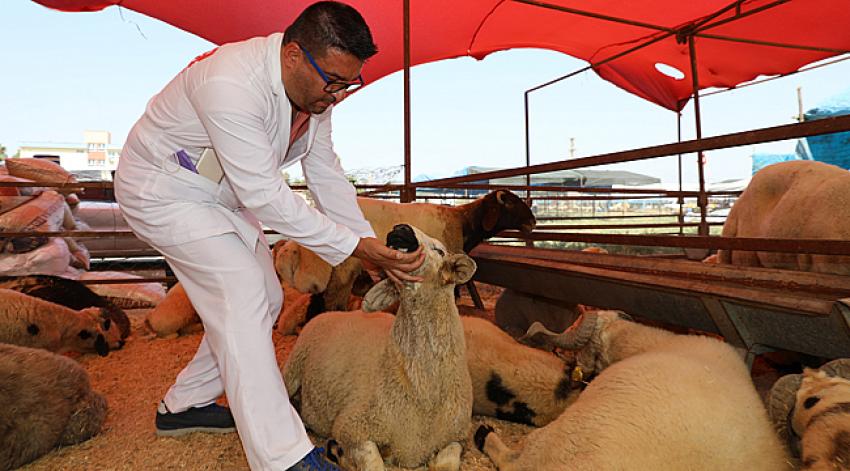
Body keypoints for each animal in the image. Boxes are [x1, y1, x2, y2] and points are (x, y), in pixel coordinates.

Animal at [282, 225, 474, 471]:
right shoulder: (352, 426)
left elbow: (447, 462)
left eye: (439, 250)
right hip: (293, 367)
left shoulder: (457, 437)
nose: (401, 229)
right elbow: (374, 462)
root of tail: (331, 313)